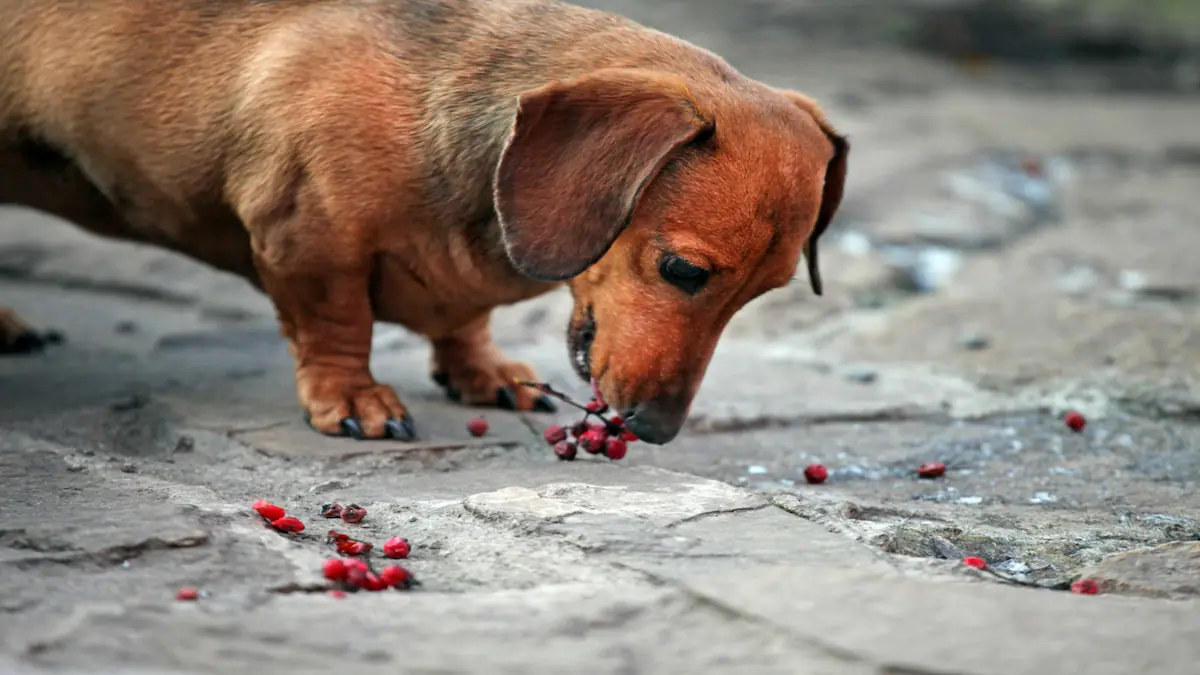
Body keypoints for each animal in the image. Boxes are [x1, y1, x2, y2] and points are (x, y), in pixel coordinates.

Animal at [0, 0, 844, 444]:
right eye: (683, 271)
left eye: (762, 295)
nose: (657, 428)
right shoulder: (305, 240)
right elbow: (337, 323)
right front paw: (354, 398)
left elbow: (464, 322)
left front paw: (483, 371)